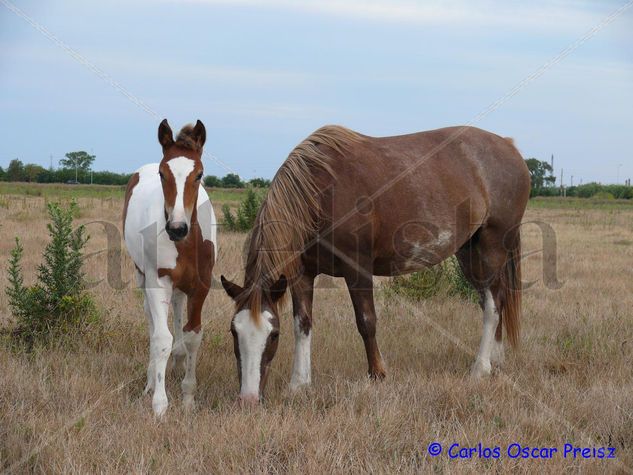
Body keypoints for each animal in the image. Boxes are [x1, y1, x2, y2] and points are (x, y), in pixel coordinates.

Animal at [123, 120, 217, 416]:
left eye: (199, 174)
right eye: (162, 174)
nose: (176, 228)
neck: (185, 245)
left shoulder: (201, 287)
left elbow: (193, 335)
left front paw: (188, 397)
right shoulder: (158, 282)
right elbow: (160, 338)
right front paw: (160, 403)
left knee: (176, 308)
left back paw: (177, 360)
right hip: (142, 276)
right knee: (152, 324)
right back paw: (151, 380)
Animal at [221, 124, 528, 404]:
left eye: (273, 335)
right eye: (234, 332)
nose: (248, 398)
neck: (320, 192)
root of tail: (509, 147)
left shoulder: (357, 268)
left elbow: (366, 321)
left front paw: (377, 374)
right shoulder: (302, 274)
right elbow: (303, 323)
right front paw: (299, 384)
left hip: (492, 246)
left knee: (492, 304)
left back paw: (481, 368)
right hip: (468, 252)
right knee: (493, 299)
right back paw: (496, 359)